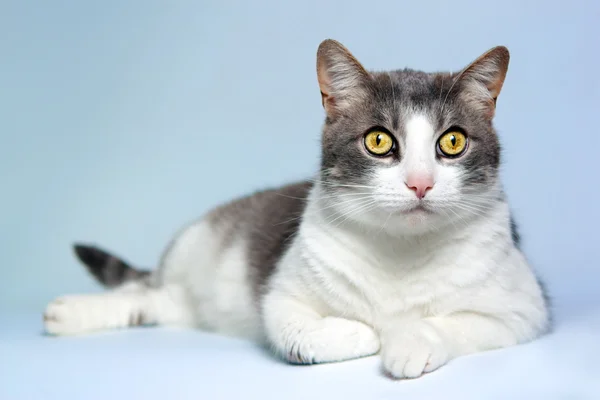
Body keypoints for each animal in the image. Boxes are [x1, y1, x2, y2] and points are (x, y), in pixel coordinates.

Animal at [42, 39, 552, 380]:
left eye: (453, 142)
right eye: (378, 141)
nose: (420, 182)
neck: (400, 254)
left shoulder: (525, 307)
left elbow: (450, 322)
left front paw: (406, 341)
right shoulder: (282, 295)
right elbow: (300, 333)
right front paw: (369, 333)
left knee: (155, 302)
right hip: (194, 246)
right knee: (143, 290)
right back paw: (72, 311)